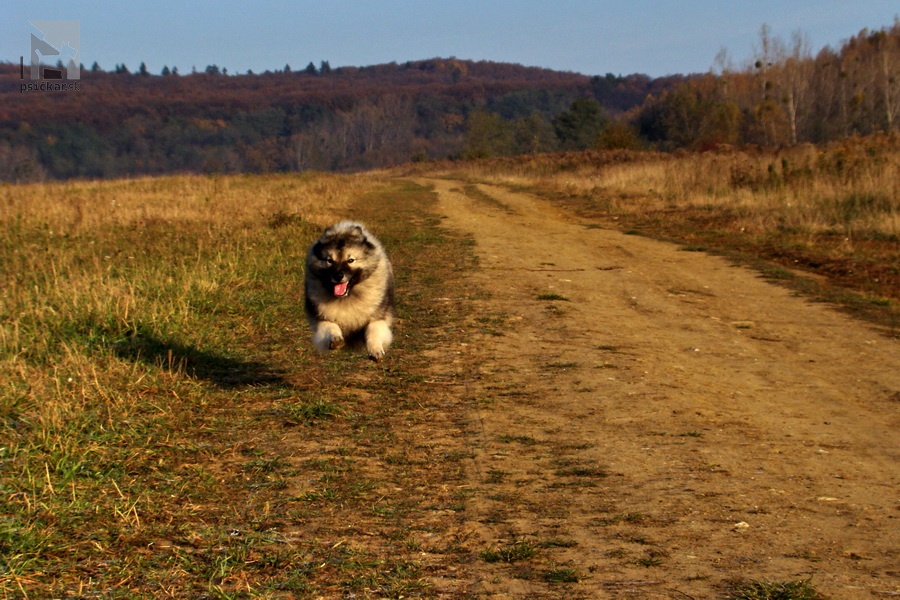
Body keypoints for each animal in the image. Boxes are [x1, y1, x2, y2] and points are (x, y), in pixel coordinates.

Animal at [304, 221, 396, 358]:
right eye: (329, 260)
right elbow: (330, 326)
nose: (338, 275)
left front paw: (375, 349)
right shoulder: (321, 319)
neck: (347, 297)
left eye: (351, 260)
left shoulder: (378, 318)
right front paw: (335, 339)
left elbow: (373, 330)